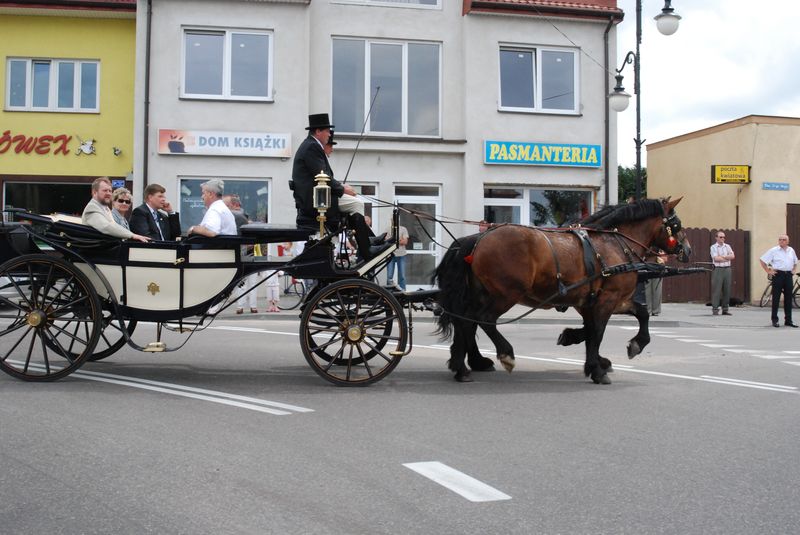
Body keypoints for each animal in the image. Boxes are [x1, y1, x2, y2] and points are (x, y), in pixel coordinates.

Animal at [433, 197, 691, 384]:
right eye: (676, 225)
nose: (687, 249)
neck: (614, 245)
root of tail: (478, 240)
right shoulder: (608, 300)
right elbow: (597, 333)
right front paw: (597, 369)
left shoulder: (597, 301)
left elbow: (634, 316)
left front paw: (586, 349)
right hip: (506, 294)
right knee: (484, 319)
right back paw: (504, 354)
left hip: (481, 294)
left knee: (466, 321)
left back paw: (464, 366)